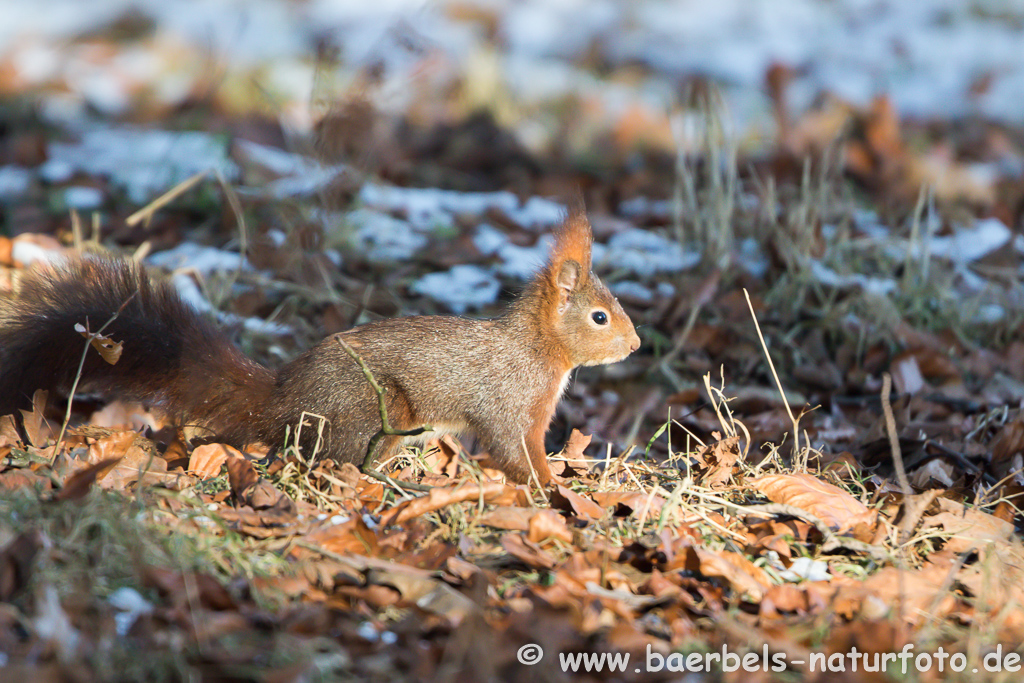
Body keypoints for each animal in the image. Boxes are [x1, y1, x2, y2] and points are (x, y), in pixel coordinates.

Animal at [0, 210, 638, 483]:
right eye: (600, 316)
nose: (633, 345)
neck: (537, 349)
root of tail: (285, 399)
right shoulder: (510, 404)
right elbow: (515, 449)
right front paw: (550, 490)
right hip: (374, 413)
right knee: (340, 458)